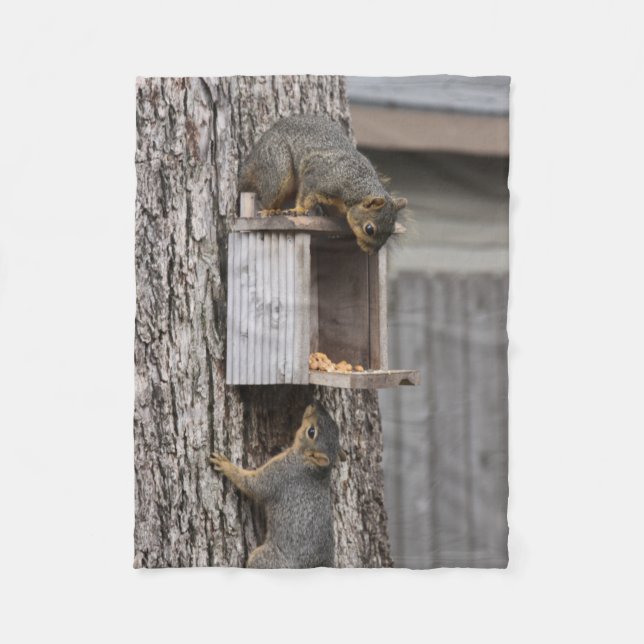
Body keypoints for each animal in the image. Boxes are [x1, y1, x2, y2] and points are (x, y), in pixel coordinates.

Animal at [209, 402, 346, 568]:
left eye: (311, 432)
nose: (315, 404)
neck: (312, 467)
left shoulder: (280, 474)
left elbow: (254, 486)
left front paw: (225, 465)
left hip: (268, 559)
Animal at [239, 114, 407, 254]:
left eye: (391, 231)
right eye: (369, 229)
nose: (371, 252)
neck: (356, 185)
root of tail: (252, 159)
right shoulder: (318, 178)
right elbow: (305, 195)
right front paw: (300, 210)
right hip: (277, 165)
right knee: (268, 196)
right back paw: (270, 210)